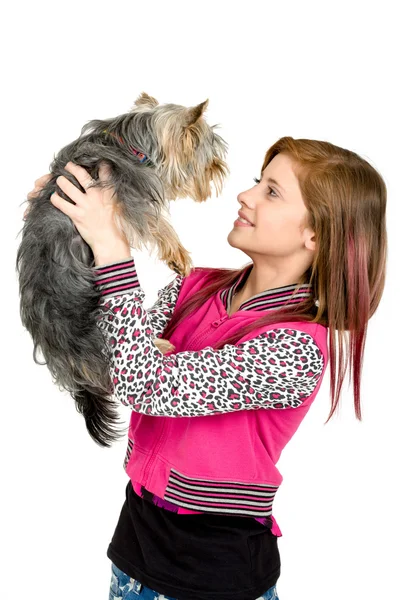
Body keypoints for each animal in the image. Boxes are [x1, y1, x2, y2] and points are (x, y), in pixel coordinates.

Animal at [16, 94, 228, 448]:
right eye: (209, 160)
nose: (218, 173)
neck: (132, 143)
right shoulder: (131, 198)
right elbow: (158, 224)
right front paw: (180, 256)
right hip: (88, 329)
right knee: (108, 369)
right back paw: (159, 346)